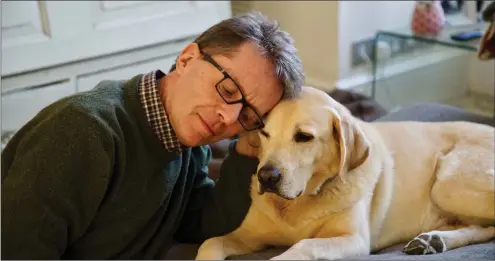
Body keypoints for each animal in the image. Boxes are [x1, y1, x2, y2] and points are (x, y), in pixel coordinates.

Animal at [196, 85, 494, 258]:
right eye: (264, 134)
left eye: (303, 137)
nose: (266, 177)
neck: (297, 205)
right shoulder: (246, 235)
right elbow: (209, 243)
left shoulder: (354, 240)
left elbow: (305, 245)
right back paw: (433, 240)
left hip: (447, 184)